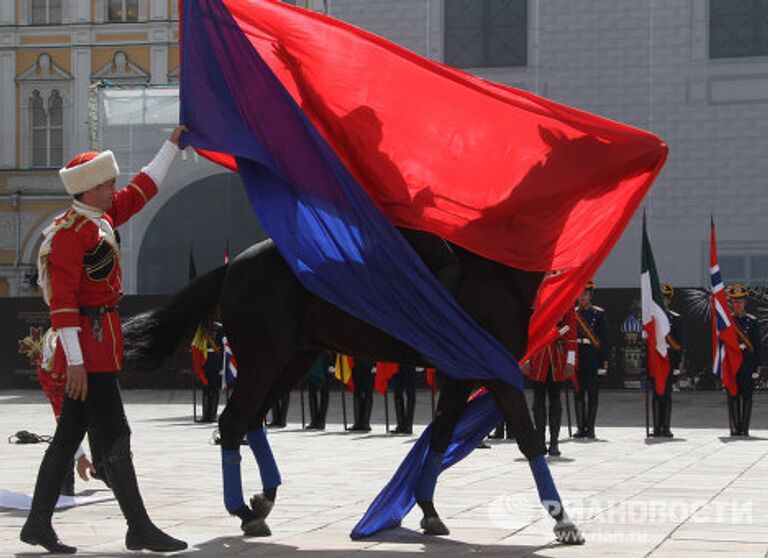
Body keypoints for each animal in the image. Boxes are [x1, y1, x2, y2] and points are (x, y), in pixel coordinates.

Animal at [124, 236, 584, 548]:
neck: (495, 273)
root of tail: (234, 264)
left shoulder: (462, 372)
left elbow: (441, 432)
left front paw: (428, 509)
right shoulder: (495, 371)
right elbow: (527, 437)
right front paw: (563, 520)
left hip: (292, 359)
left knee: (252, 420)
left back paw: (263, 499)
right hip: (263, 360)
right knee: (233, 421)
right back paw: (244, 512)